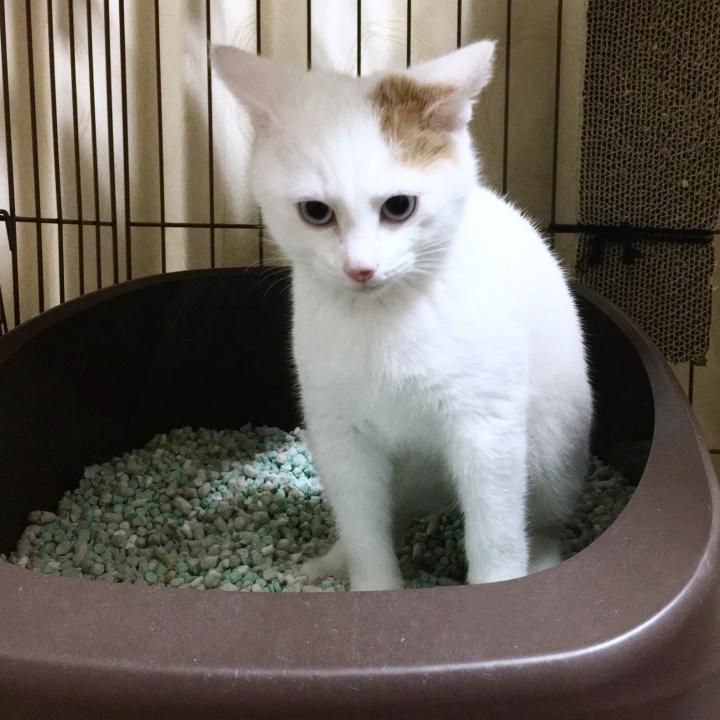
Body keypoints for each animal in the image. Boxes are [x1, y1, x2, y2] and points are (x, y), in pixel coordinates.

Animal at [213, 41, 593, 591]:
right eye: (315, 212)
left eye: (398, 206)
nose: (361, 268)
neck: (383, 318)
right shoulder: (342, 436)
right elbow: (364, 530)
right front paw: (374, 588)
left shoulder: (486, 430)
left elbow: (496, 534)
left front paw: (497, 590)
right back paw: (328, 562)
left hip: (550, 451)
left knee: (541, 518)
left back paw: (542, 563)